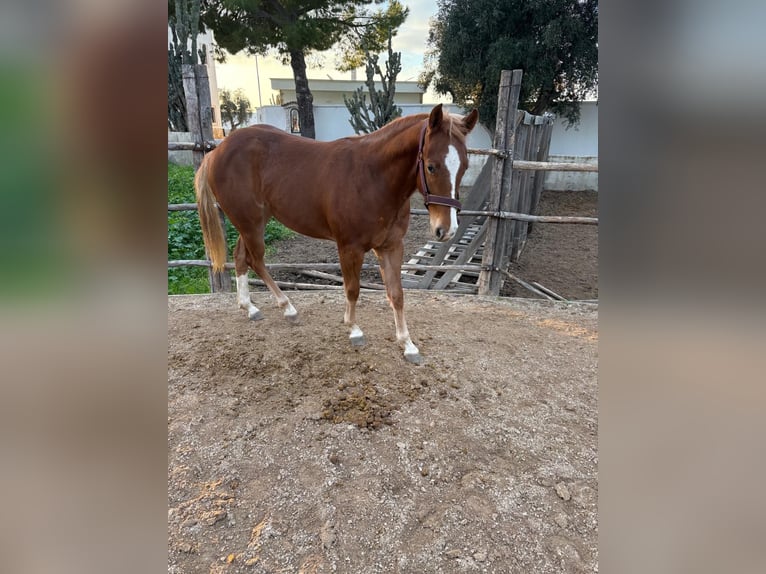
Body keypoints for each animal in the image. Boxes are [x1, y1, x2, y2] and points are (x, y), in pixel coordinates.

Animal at [195, 103, 479, 364]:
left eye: (464, 166)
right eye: (431, 166)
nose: (446, 229)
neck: (374, 178)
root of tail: (218, 151)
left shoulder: (391, 246)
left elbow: (396, 294)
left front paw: (407, 344)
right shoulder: (349, 247)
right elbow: (352, 289)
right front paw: (354, 330)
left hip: (253, 222)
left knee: (241, 256)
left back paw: (250, 307)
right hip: (250, 222)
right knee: (255, 260)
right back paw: (288, 308)